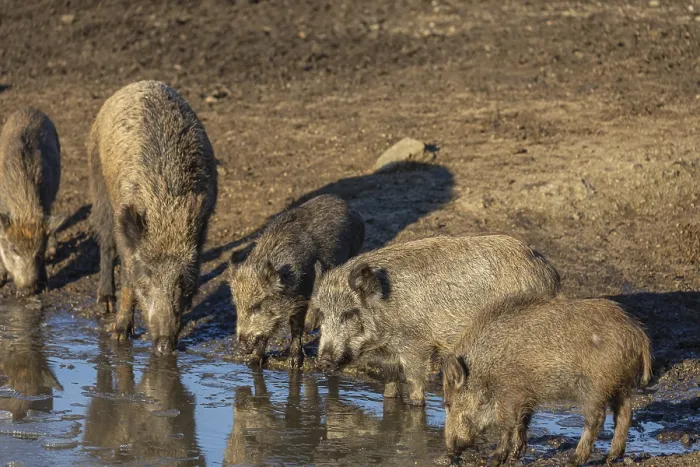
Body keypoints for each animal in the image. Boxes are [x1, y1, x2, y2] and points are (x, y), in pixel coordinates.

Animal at [88, 80, 217, 354]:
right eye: (147, 275)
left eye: (181, 280)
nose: (164, 345)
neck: (165, 210)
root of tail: (141, 83)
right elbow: (127, 277)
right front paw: (119, 336)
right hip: (98, 178)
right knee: (105, 240)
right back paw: (105, 303)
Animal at [229, 194, 364, 368]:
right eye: (237, 306)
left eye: (256, 306)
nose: (242, 345)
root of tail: (350, 208)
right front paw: (253, 362)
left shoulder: (302, 295)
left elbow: (295, 326)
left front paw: (294, 363)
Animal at [312, 234, 561, 406]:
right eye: (322, 314)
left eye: (349, 313)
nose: (323, 361)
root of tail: (550, 274)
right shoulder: (389, 358)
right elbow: (390, 388)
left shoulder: (416, 346)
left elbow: (415, 385)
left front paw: (416, 404)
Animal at [442, 298, 652, 466]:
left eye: (448, 403)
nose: (450, 450)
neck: (485, 371)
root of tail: (637, 334)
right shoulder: (526, 397)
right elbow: (522, 423)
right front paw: (515, 455)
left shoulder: (510, 394)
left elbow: (506, 425)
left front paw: (495, 460)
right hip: (620, 384)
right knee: (625, 414)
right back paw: (610, 457)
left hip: (596, 386)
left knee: (597, 419)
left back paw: (574, 460)